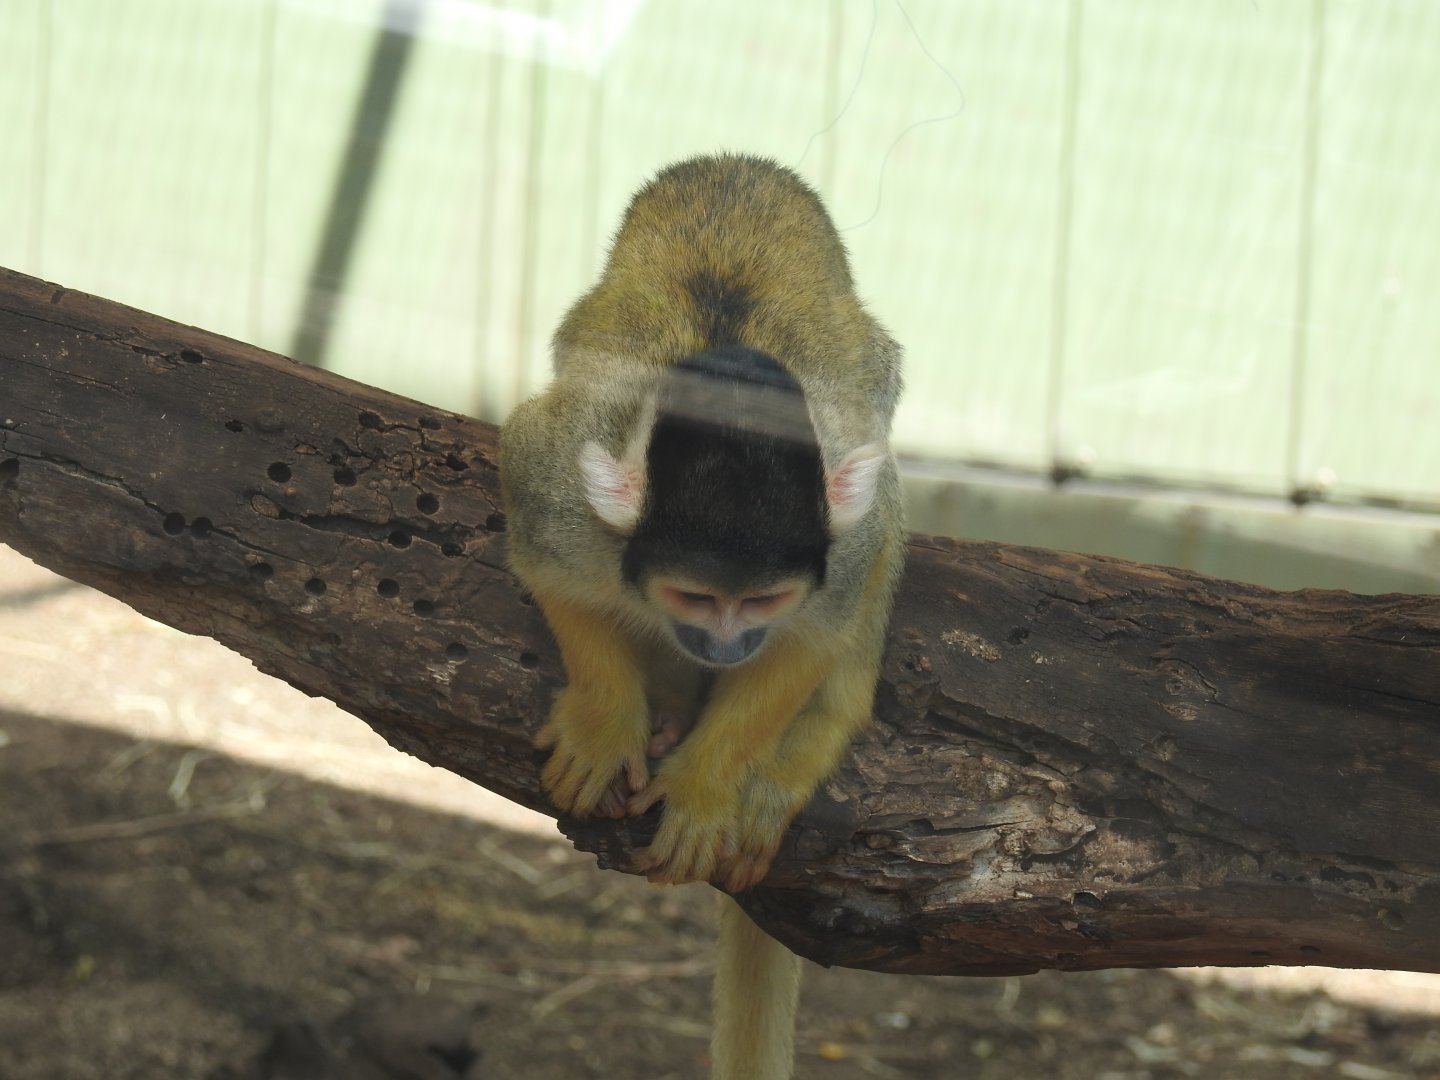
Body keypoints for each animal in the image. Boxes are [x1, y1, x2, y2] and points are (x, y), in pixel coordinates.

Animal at [499, 152, 904, 1080]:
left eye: (760, 603)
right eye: (694, 597)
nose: (730, 644)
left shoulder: (834, 553)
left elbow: (816, 633)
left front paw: (708, 783)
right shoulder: (557, 491)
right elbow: (544, 551)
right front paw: (607, 723)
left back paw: (809, 733)